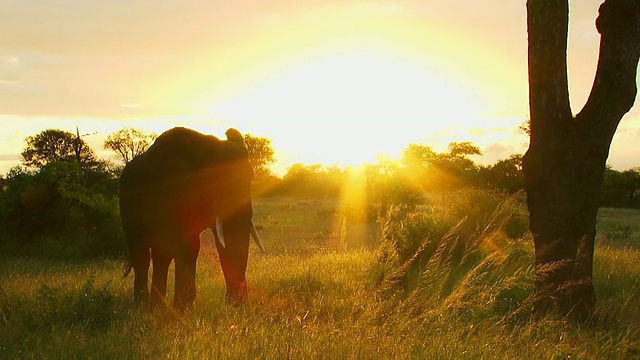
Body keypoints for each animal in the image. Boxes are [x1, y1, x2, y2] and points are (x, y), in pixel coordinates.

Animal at [119, 126, 264, 310]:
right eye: (215, 180)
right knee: (141, 252)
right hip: (126, 203)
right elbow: (190, 244)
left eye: (250, 177)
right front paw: (183, 308)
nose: (236, 303)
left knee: (161, 253)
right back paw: (144, 305)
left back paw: (157, 307)